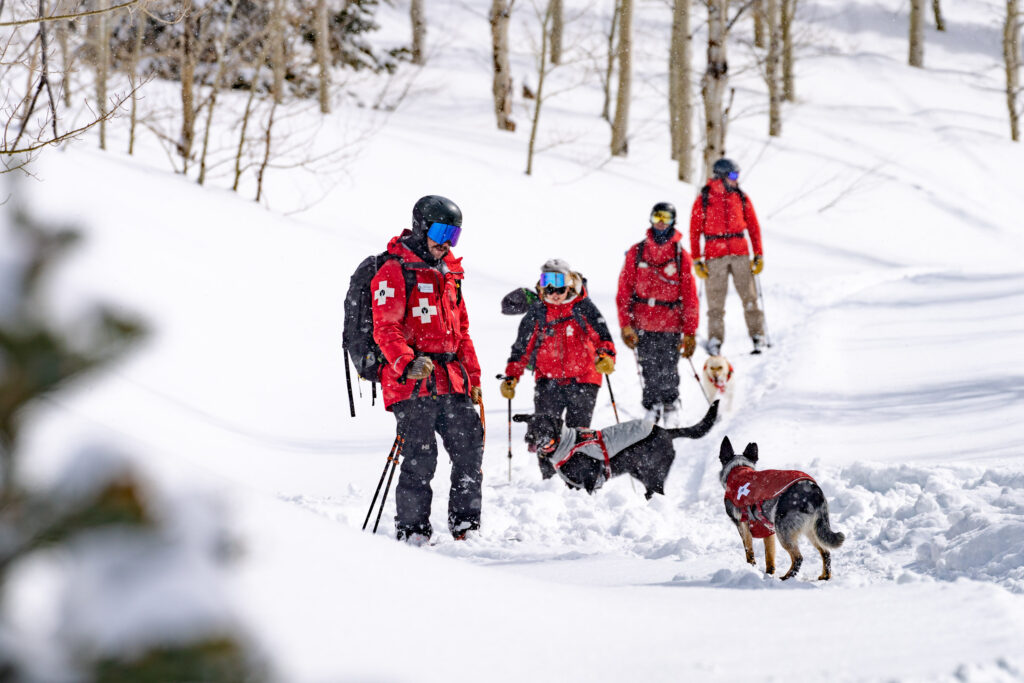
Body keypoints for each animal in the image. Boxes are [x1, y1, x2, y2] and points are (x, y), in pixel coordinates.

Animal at [512, 401, 720, 497]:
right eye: (530, 426)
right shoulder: (572, 484)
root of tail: (665, 431)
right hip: (640, 473)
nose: (528, 437)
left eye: (543, 428)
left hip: (654, 474)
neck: (566, 443)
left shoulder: (590, 480)